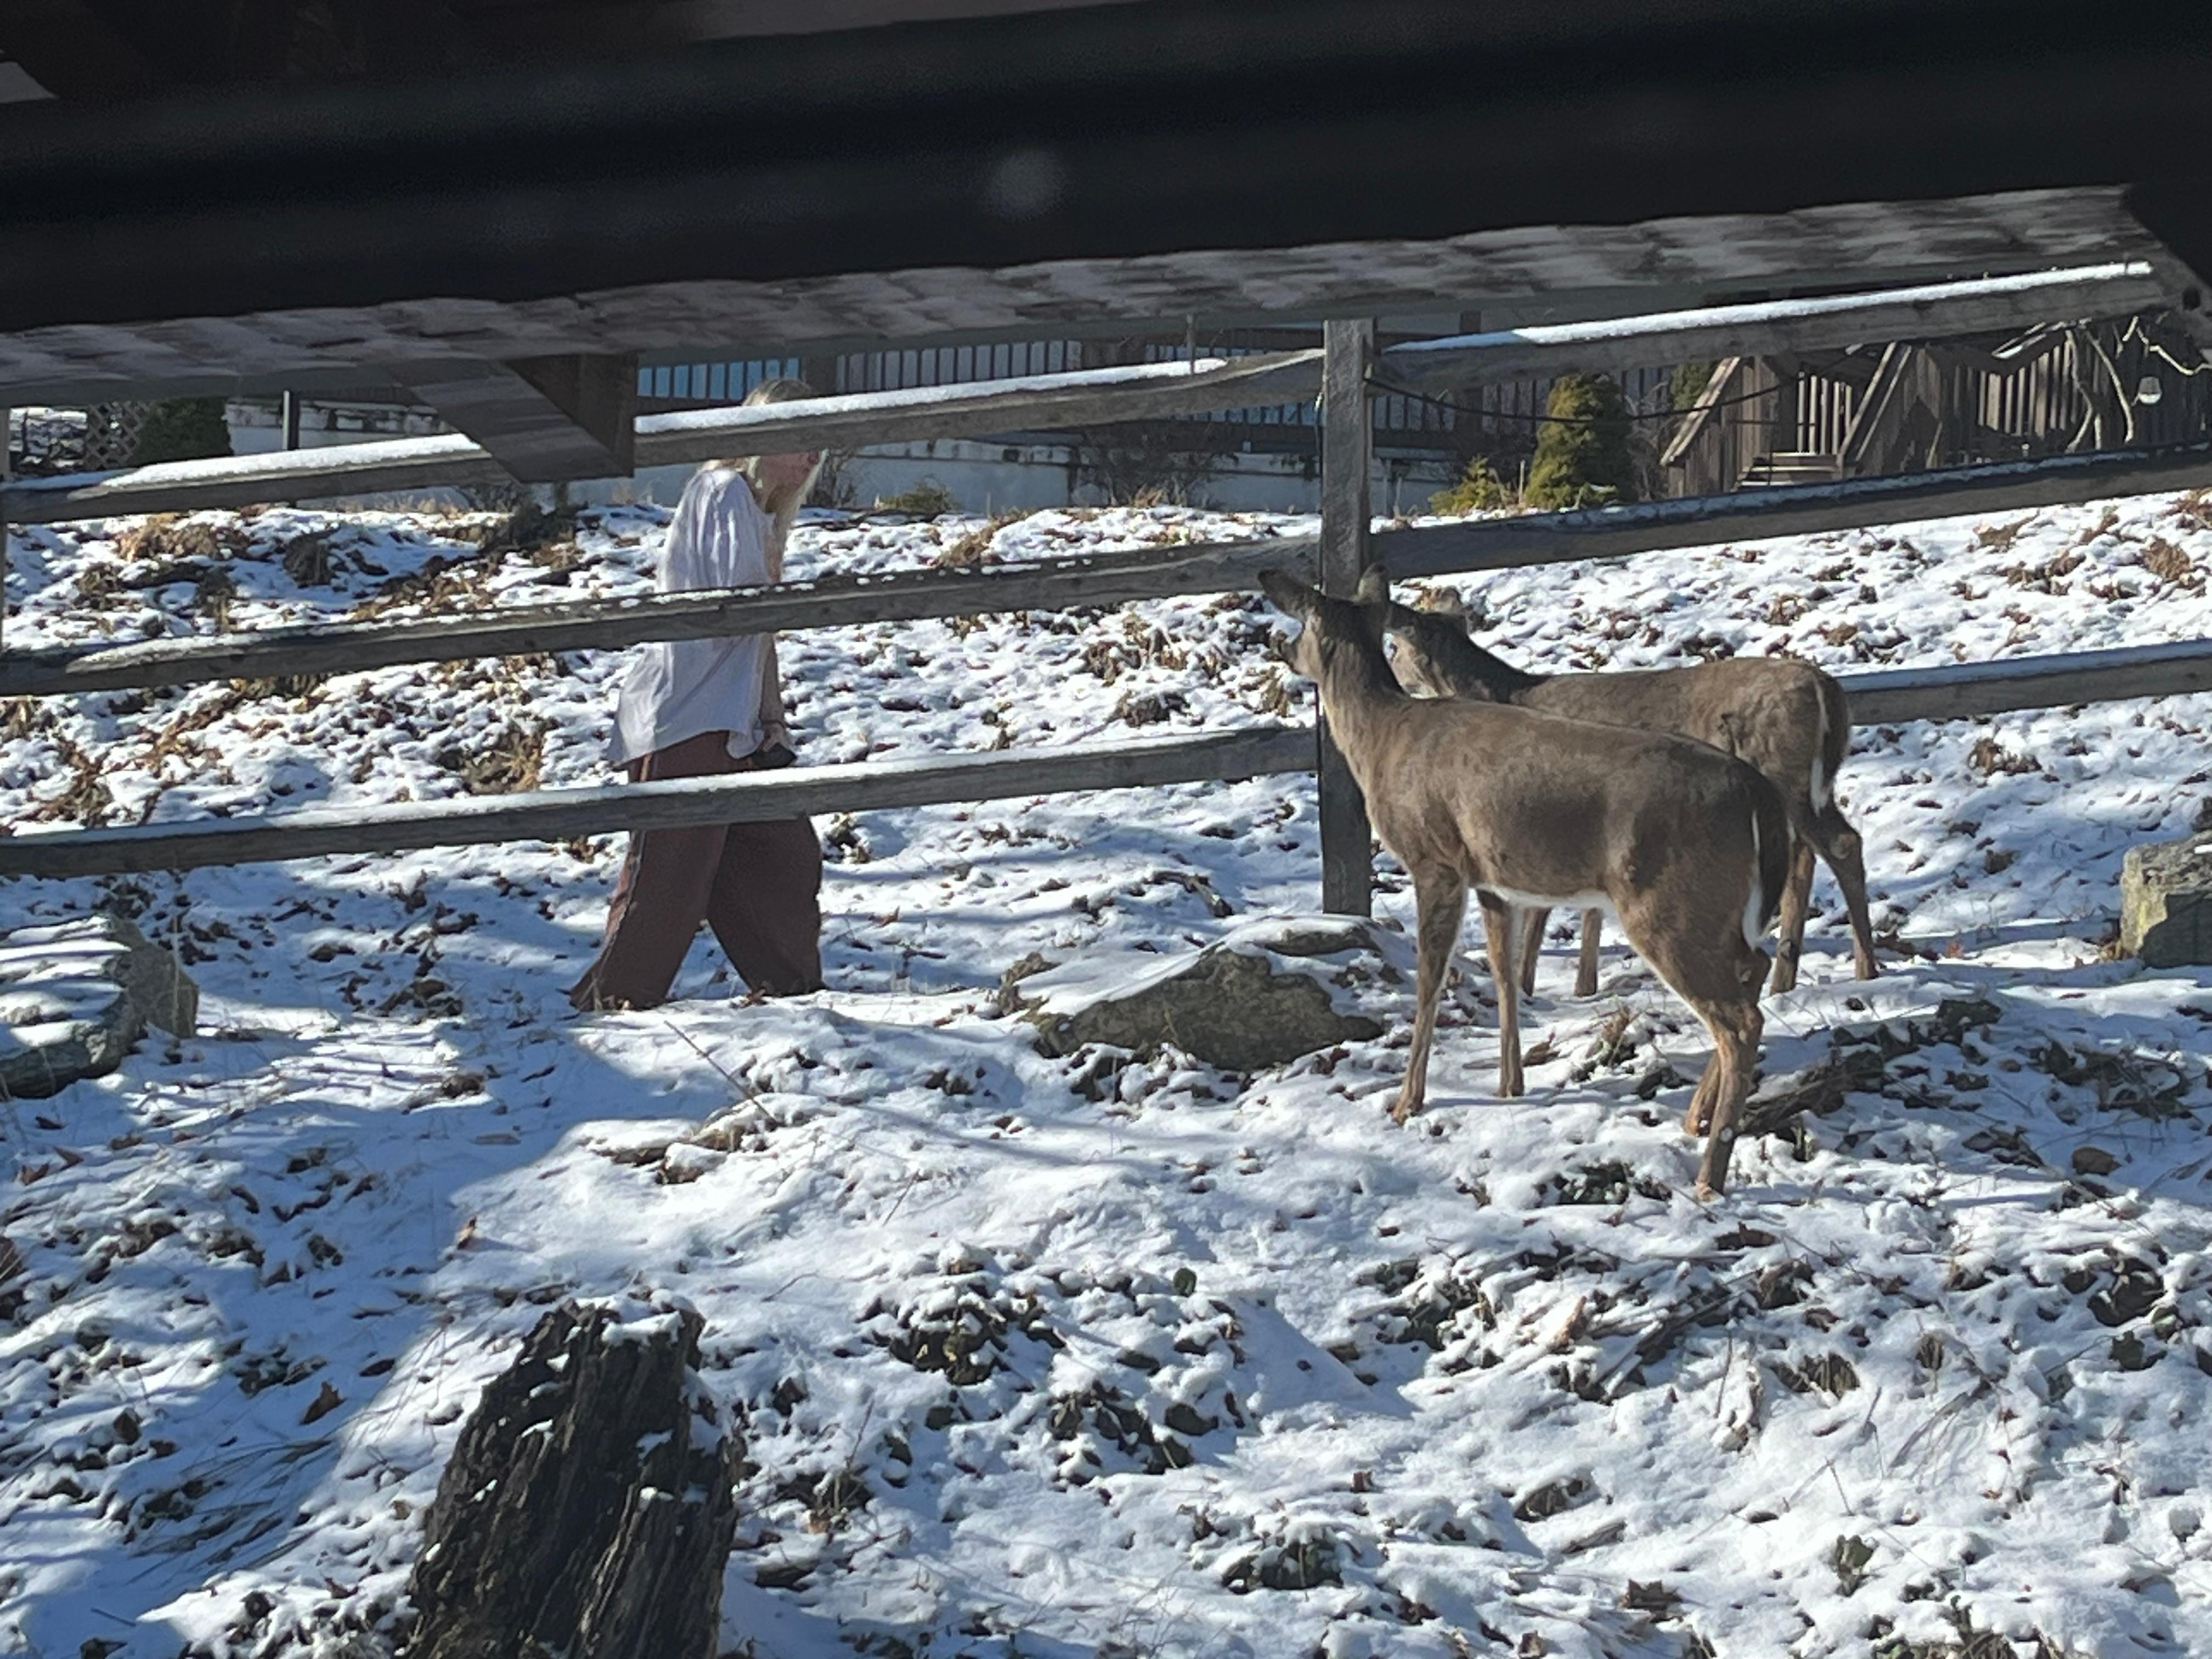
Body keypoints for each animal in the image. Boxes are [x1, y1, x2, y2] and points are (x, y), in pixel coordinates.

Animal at [1258, 569, 1788, 1198]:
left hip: (1667, 904)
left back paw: (1710, 1173)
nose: (1275, 642)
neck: (1380, 742)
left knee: (1740, 1020)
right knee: (1753, 970)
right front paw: (1510, 1084)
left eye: (1303, 621)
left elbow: (1430, 980)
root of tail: (1757, 792)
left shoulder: (1436, 860)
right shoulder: (1493, 877)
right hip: (1716, 905)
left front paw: (1407, 1101)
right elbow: (1505, 973)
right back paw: (1696, 1116)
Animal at [1360, 568, 1875, 1000]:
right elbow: (1590, 907)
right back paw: (1798, 974)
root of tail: (1827, 689)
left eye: (1396, 649)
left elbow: (1543, 909)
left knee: (1837, 846)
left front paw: (1529, 984)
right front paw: (1583, 986)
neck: (1507, 693)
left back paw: (1861, 969)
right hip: (1809, 786)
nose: (1396, 677)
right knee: (1819, 850)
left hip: (1781, 770)